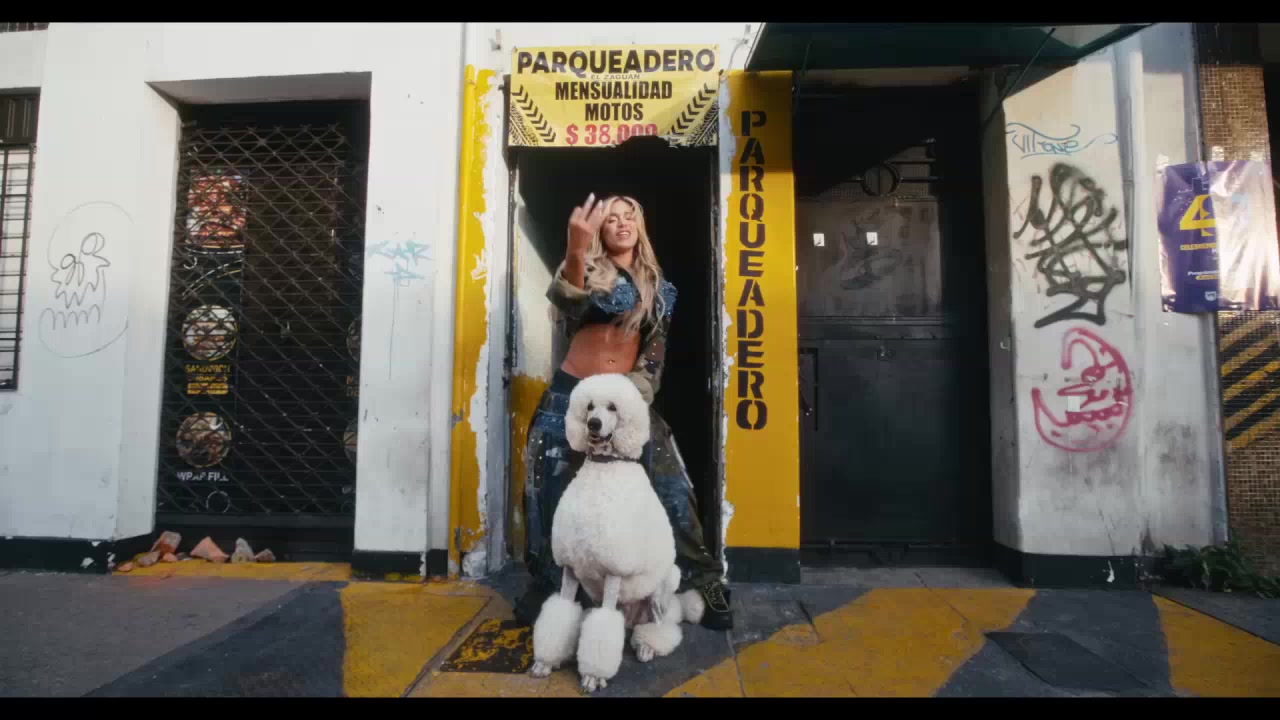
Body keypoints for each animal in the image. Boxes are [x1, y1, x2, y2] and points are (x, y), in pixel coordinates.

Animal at [528, 373, 701, 693]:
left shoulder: (613, 572)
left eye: (612, 408)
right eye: (589, 407)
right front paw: (545, 661)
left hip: (662, 589)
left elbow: (604, 626)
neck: (603, 468)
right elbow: (561, 612)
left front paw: (593, 676)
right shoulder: (570, 568)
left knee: (662, 627)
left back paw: (647, 646)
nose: (593, 424)